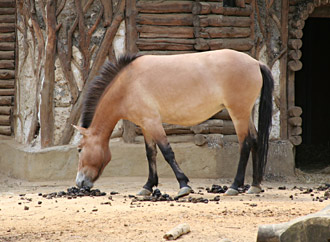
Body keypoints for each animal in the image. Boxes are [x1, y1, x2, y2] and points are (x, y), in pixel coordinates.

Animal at [74, 49, 274, 197]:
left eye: (80, 149)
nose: (79, 183)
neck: (128, 84)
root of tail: (255, 63)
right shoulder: (145, 125)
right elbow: (151, 153)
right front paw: (147, 187)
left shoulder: (153, 123)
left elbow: (167, 152)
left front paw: (183, 185)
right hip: (245, 114)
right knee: (255, 140)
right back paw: (254, 186)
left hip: (238, 114)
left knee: (245, 144)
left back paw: (234, 186)